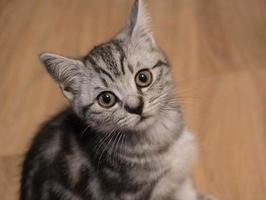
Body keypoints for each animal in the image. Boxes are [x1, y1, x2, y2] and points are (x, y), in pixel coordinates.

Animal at [20, 0, 216, 200]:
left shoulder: (179, 178)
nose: (136, 106)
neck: (162, 140)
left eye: (143, 77)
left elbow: (186, 191)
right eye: (106, 99)